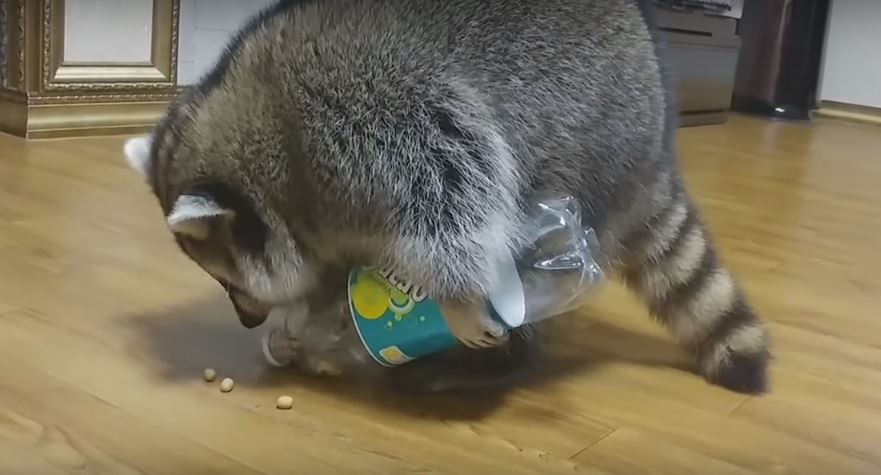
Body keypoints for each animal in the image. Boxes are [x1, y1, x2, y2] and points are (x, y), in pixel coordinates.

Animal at [124, 0, 768, 394]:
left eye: (228, 280)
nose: (247, 319)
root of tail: (656, 148)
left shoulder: (366, 123)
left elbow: (456, 193)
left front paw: (457, 297)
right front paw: (314, 319)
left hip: (588, 146)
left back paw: (491, 359)